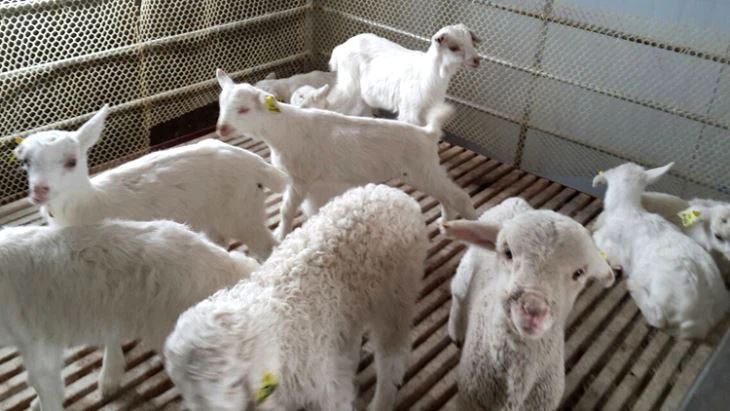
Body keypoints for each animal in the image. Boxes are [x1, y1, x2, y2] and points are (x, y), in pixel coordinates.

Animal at [14, 107, 288, 261]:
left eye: (72, 161)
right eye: (26, 161)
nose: (39, 191)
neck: (89, 201)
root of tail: (259, 166)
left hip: (242, 212)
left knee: (268, 246)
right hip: (215, 214)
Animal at [164, 184, 429, 411]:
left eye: (232, 383)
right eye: (187, 394)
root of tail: (394, 194)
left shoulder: (323, 388)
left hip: (394, 297)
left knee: (390, 357)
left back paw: (381, 399)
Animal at [215, 69, 477, 240]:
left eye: (244, 109)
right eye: (220, 104)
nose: (222, 129)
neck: (283, 129)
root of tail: (428, 133)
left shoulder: (300, 177)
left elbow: (286, 210)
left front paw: (280, 235)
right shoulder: (315, 182)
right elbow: (313, 207)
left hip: (420, 168)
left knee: (460, 196)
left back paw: (474, 226)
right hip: (426, 169)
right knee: (446, 194)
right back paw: (445, 220)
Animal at [328, 24, 481, 125]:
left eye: (472, 43)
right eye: (453, 47)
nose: (476, 60)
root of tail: (341, 47)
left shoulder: (428, 108)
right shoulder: (410, 110)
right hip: (349, 84)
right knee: (336, 98)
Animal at [591, 162, 729, 339]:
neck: (628, 209)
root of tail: (700, 321)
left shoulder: (605, 239)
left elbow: (595, 239)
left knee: (658, 318)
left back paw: (633, 286)